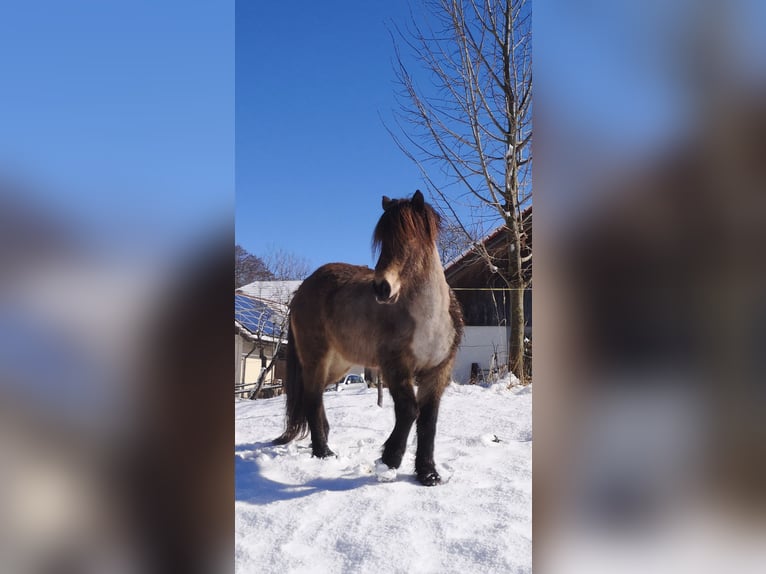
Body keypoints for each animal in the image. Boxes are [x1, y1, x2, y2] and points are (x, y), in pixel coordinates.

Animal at [276, 192, 468, 486]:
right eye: (383, 241)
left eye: (411, 239)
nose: (382, 288)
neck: (429, 320)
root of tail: (301, 291)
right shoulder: (395, 366)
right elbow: (409, 411)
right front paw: (388, 460)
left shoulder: (438, 371)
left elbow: (428, 420)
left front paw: (428, 473)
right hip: (315, 358)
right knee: (311, 397)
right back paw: (323, 452)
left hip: (337, 365)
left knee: (316, 396)